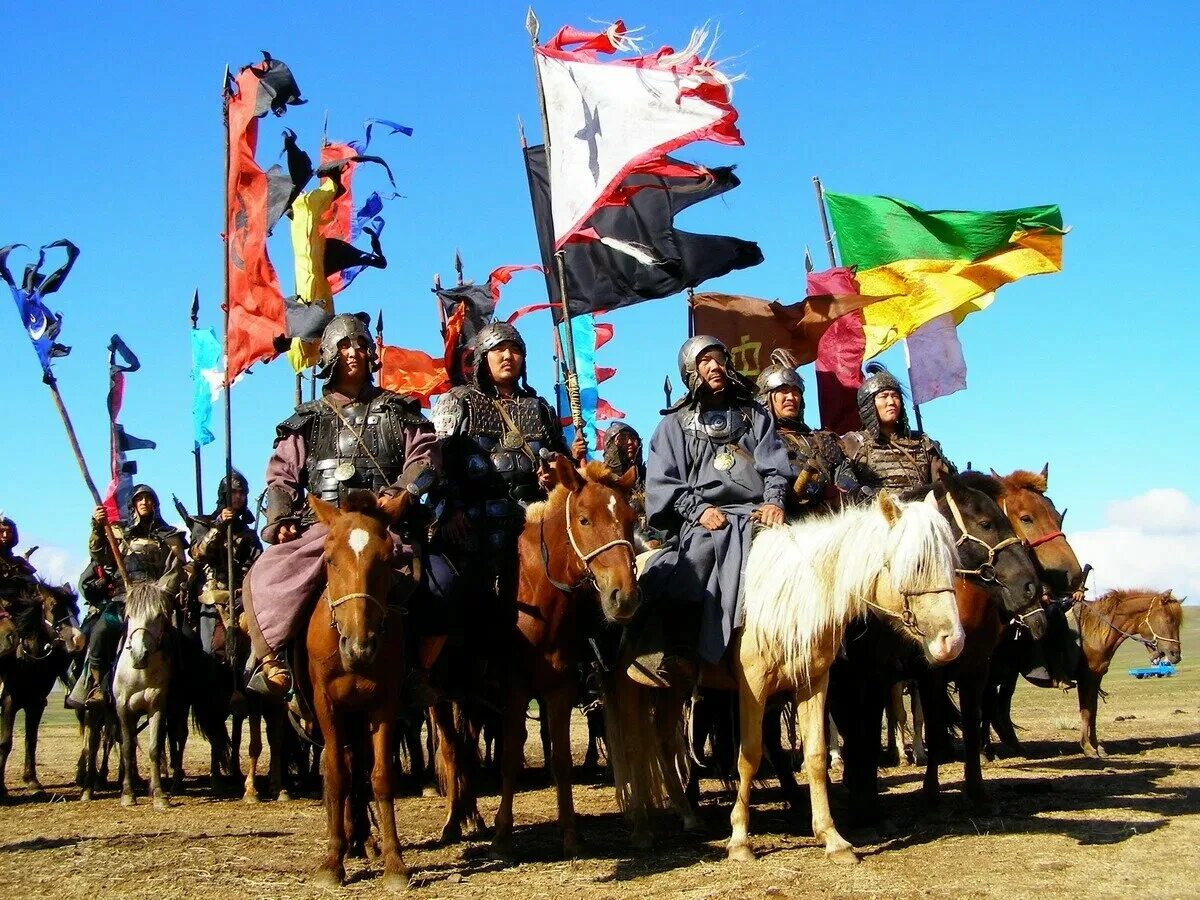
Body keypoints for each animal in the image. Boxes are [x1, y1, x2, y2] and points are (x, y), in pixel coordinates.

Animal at [0, 578, 84, 796]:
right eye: (54, 607)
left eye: (76, 609)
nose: (78, 640)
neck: (28, 660)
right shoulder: (9, 701)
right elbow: (5, 742)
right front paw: (1, 787)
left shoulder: (36, 703)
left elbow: (31, 740)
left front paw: (33, 782)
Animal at [112, 580, 175, 816]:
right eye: (129, 616)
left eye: (158, 616)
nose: (139, 655)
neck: (140, 674)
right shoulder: (122, 708)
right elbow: (128, 748)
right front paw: (128, 794)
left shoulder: (156, 707)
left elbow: (154, 748)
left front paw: (159, 794)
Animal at [296, 489, 417, 892]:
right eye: (330, 559)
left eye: (388, 559)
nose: (359, 648)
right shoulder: (326, 703)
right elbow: (336, 773)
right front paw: (332, 861)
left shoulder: (384, 703)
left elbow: (380, 775)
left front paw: (395, 862)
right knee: (348, 766)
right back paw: (351, 840)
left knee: (361, 766)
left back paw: (364, 840)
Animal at [487, 460, 643, 864]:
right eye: (584, 520)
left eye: (630, 518)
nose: (624, 597)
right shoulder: (514, 690)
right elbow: (510, 754)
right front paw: (502, 836)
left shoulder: (560, 690)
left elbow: (561, 760)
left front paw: (571, 833)